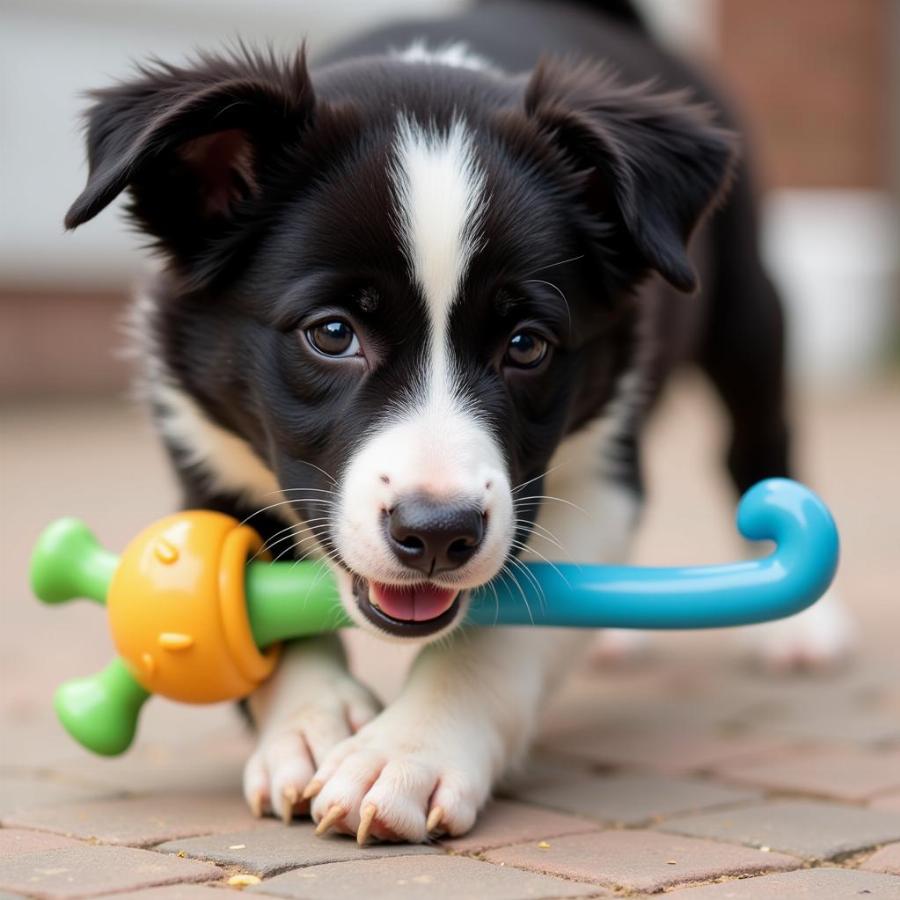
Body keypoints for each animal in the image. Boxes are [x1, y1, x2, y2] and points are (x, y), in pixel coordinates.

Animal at [67, 1, 856, 844]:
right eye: (332, 333)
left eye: (527, 345)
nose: (438, 533)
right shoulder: (204, 442)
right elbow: (250, 599)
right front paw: (308, 724)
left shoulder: (599, 468)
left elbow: (504, 626)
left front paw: (407, 751)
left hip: (749, 310)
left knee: (759, 440)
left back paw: (802, 628)